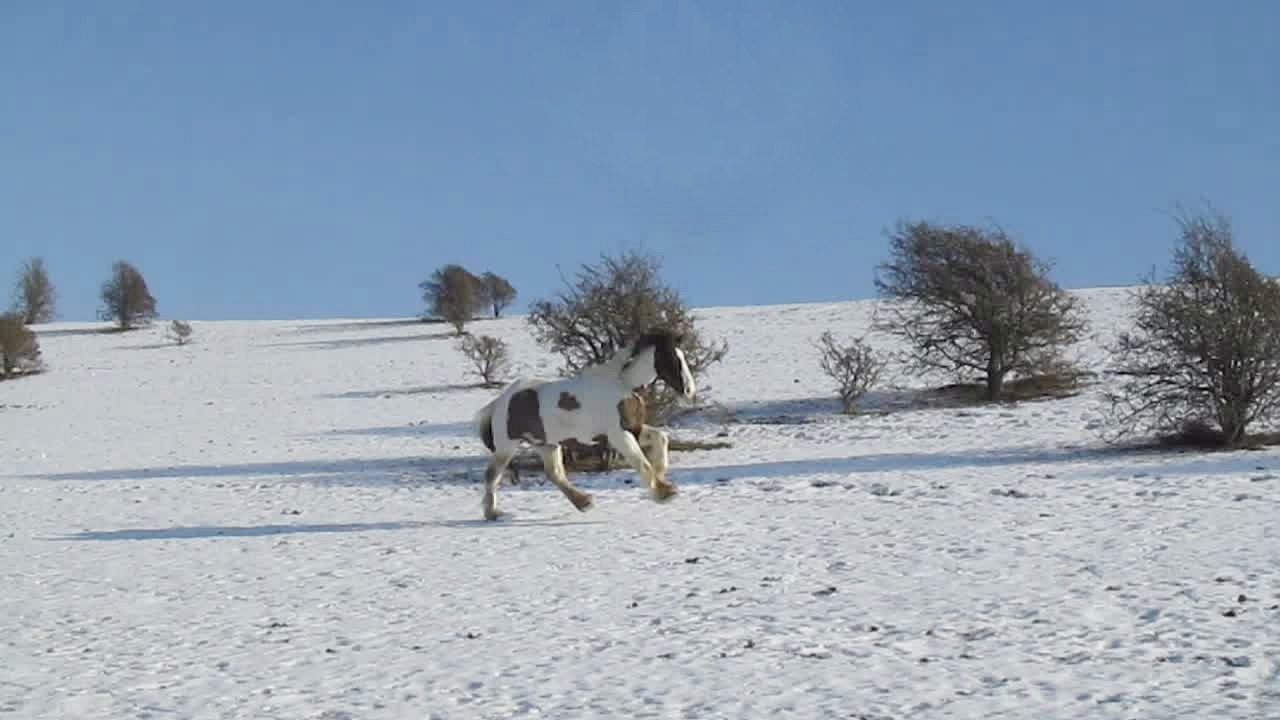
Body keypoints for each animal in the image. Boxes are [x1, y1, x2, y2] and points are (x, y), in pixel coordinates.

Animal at [470, 328, 696, 521]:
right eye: (673, 358)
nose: (689, 391)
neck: (622, 385)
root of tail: (501, 400)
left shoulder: (634, 428)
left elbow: (661, 439)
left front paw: (663, 481)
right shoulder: (619, 435)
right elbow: (641, 462)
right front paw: (663, 492)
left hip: (546, 444)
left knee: (554, 473)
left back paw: (584, 502)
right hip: (507, 446)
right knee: (492, 475)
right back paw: (493, 513)